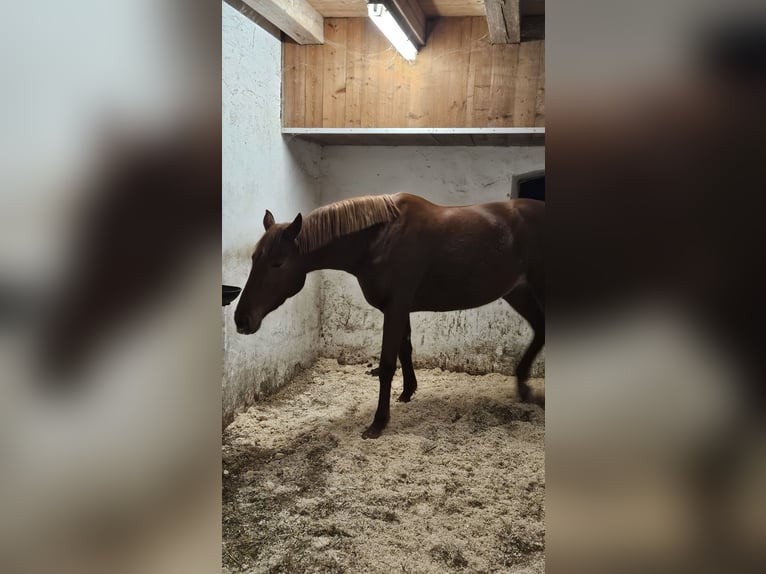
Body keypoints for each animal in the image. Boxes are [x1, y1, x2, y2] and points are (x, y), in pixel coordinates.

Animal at [234, 193, 544, 439]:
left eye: (277, 263)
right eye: (253, 258)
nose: (241, 319)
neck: (381, 239)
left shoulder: (395, 309)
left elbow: (386, 365)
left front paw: (378, 423)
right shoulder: (399, 308)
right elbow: (405, 350)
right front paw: (408, 392)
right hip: (518, 292)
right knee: (540, 331)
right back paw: (524, 388)